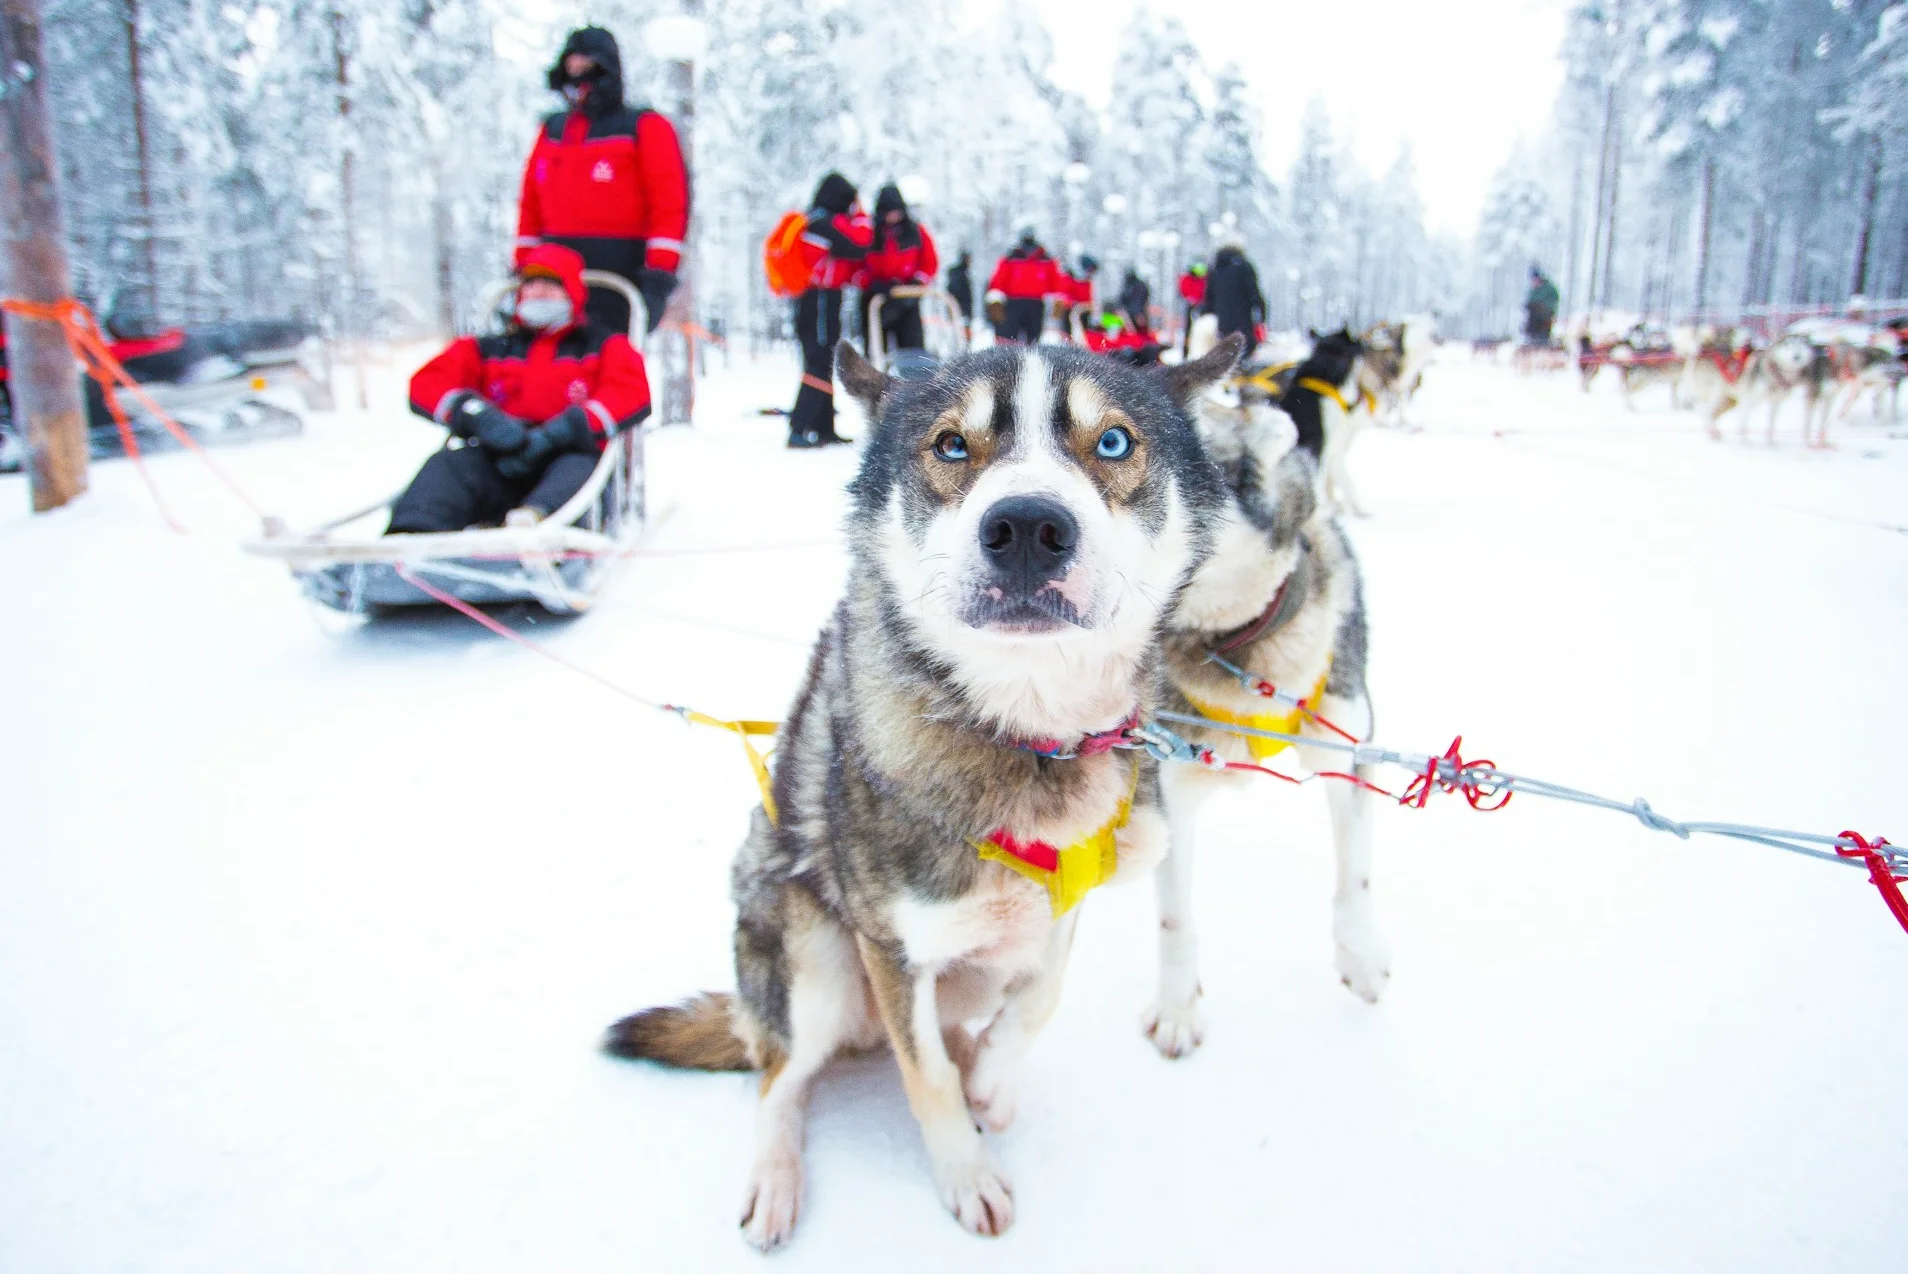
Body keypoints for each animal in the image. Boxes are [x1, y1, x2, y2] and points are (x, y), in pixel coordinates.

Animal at [602, 335, 1244, 1244]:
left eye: (1115, 441)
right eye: (949, 444)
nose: (1027, 528)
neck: (1023, 734)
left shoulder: (1061, 904)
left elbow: (1041, 993)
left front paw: (996, 1080)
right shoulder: (892, 947)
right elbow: (925, 1076)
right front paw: (964, 1171)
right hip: (814, 959)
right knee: (779, 1076)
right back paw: (776, 1173)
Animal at [1129, 374, 1389, 1061]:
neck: (1239, 652)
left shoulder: (1350, 753)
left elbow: (1356, 876)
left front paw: (1361, 957)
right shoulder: (1167, 789)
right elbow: (1176, 918)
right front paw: (1177, 1008)